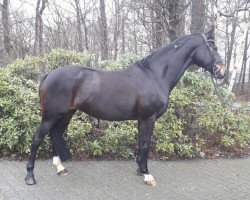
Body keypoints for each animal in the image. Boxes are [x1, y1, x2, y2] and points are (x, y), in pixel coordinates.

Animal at [25, 27, 227, 186]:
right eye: (214, 47)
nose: (222, 71)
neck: (154, 75)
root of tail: (49, 74)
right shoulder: (148, 118)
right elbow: (146, 143)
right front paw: (147, 174)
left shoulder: (141, 120)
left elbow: (140, 143)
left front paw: (139, 169)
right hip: (51, 115)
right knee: (37, 139)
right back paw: (30, 176)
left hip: (67, 113)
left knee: (55, 133)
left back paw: (60, 167)